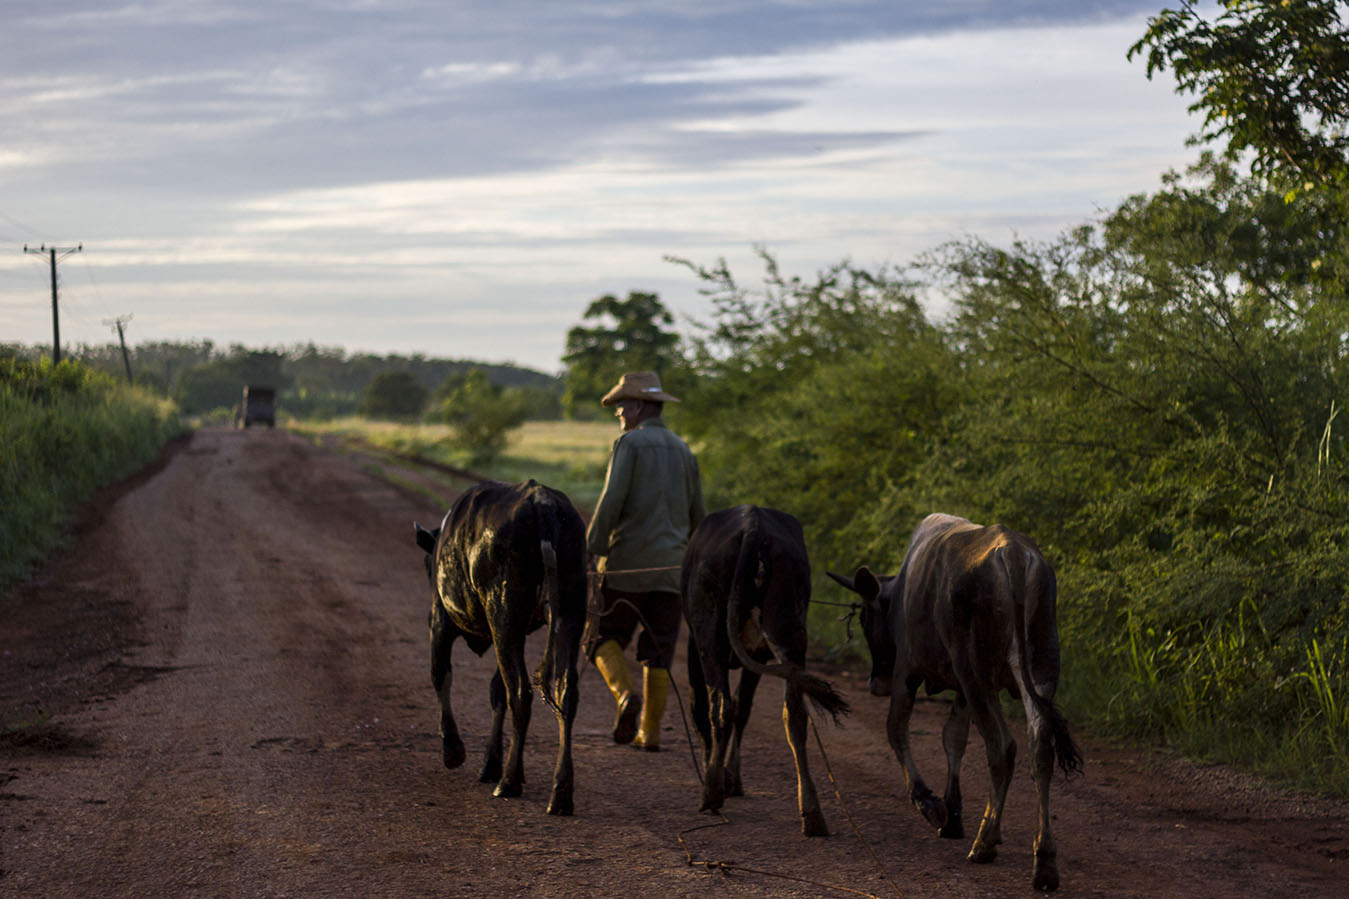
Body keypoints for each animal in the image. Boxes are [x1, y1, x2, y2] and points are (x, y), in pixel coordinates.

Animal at [407, 483, 582, 809]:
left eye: (426, 565)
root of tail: (542, 500)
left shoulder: (439, 618)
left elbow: (440, 674)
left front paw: (453, 751)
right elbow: (496, 690)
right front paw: (491, 763)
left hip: (503, 612)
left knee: (520, 691)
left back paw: (509, 782)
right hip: (569, 611)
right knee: (565, 693)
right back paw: (561, 793)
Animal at [679, 504, 847, 831]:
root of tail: (753, 525)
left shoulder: (695, 646)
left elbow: (703, 707)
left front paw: (720, 776)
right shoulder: (757, 656)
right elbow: (744, 708)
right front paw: (733, 778)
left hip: (710, 633)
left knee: (720, 706)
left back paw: (712, 792)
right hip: (788, 630)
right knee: (794, 714)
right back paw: (812, 812)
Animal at [825, 510, 1079, 890]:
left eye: (868, 620)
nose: (875, 683)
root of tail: (1014, 553)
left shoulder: (907, 670)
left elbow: (896, 728)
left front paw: (929, 803)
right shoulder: (959, 688)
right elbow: (953, 739)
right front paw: (954, 813)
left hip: (977, 670)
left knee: (1001, 746)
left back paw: (985, 843)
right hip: (1041, 663)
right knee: (1040, 744)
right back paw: (1043, 860)